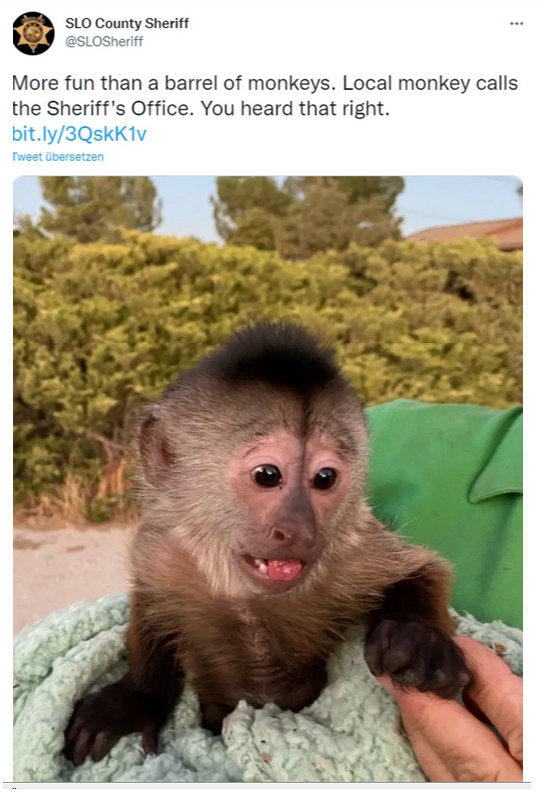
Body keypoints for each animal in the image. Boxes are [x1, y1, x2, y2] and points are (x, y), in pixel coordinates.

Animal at [64, 321, 471, 766]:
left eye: (324, 478)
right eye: (267, 475)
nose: (300, 530)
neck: (247, 596)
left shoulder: (351, 551)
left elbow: (419, 569)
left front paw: (418, 637)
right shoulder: (163, 552)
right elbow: (152, 606)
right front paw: (135, 699)